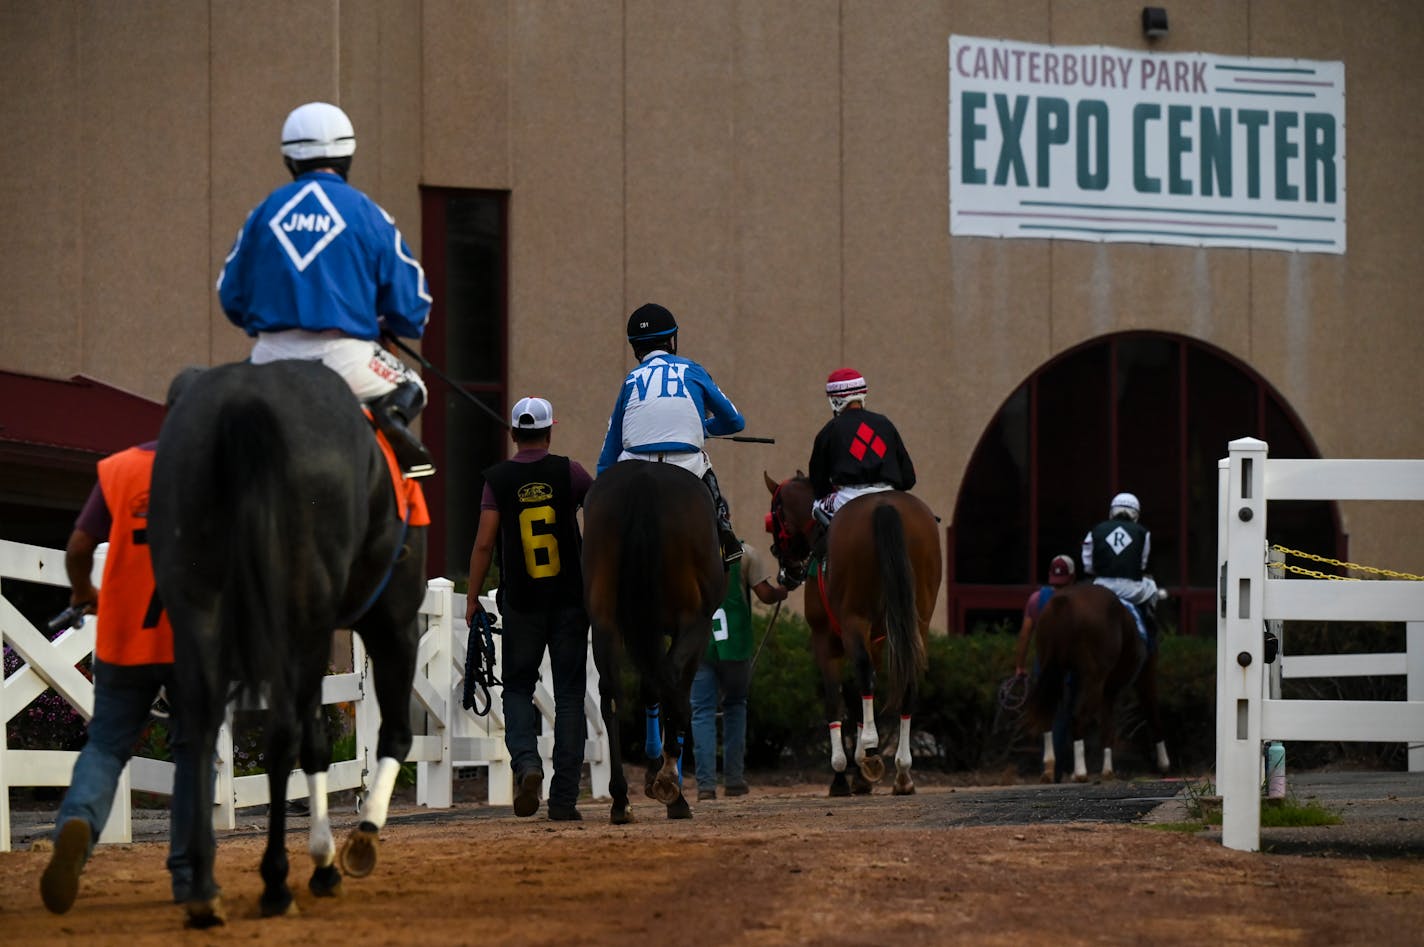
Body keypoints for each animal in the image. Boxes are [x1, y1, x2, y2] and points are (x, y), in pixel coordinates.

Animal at [153, 360, 427, 922]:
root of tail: (245, 402)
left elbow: (318, 744)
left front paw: (325, 859)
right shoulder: (392, 622)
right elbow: (391, 735)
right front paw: (354, 844)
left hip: (203, 608)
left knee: (202, 733)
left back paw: (204, 889)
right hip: (304, 621)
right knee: (281, 734)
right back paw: (275, 883)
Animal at [583, 458, 729, 820]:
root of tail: (645, 479)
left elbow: (648, 687)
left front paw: (652, 768)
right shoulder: (694, 628)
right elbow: (673, 686)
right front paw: (664, 775)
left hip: (604, 620)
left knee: (611, 693)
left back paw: (621, 799)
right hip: (693, 620)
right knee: (673, 681)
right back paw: (670, 783)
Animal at [763, 469, 939, 791]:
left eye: (774, 517)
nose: (785, 574)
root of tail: (884, 506)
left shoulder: (826, 640)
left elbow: (836, 701)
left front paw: (842, 771)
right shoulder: (877, 639)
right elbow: (858, 698)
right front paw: (862, 766)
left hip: (855, 618)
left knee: (865, 675)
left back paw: (871, 750)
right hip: (918, 619)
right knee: (908, 679)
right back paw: (903, 771)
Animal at [1025, 583, 1167, 780]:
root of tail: (1063, 601)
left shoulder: (1107, 689)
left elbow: (1107, 726)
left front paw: (1107, 770)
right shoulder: (1145, 674)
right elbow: (1152, 710)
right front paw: (1163, 763)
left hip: (1052, 667)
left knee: (1049, 713)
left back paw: (1049, 767)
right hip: (1094, 678)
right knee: (1078, 716)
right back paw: (1080, 772)